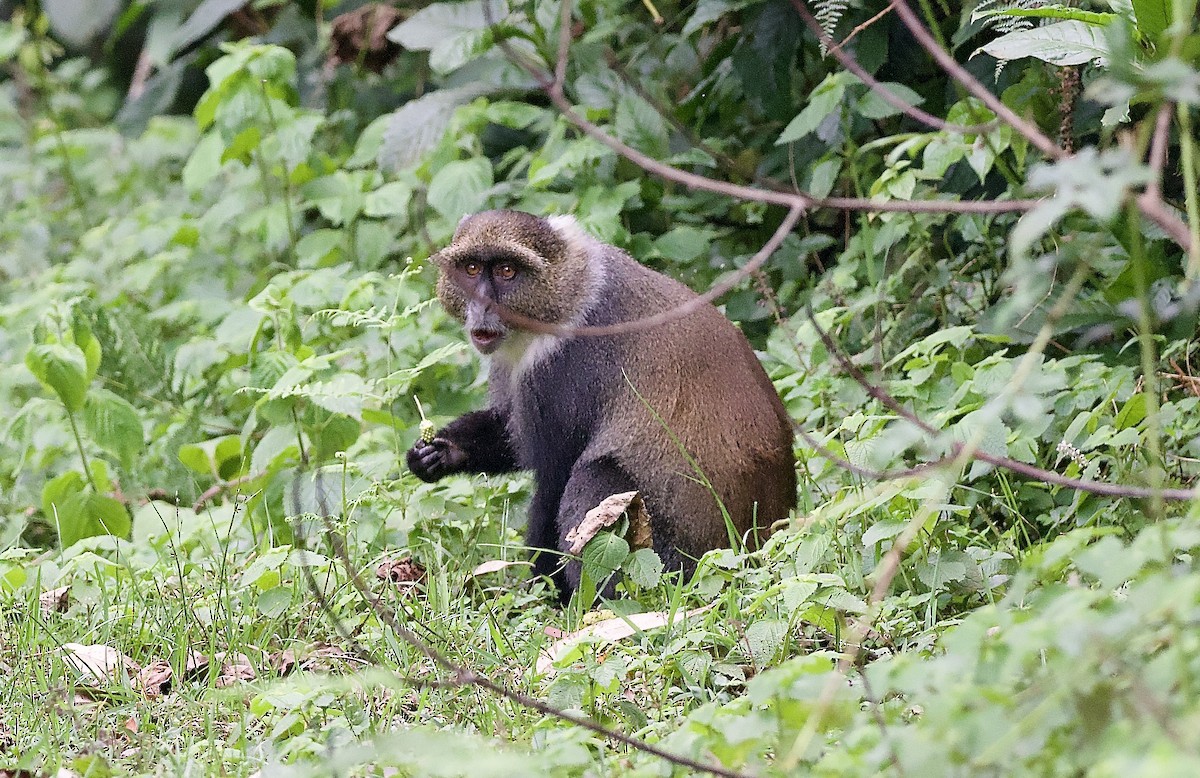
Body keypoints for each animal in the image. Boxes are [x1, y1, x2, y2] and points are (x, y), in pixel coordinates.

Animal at [407, 210, 796, 602]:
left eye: (506, 271)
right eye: (471, 268)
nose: (483, 305)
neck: (569, 292)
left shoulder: (562, 370)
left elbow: (553, 479)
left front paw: (543, 595)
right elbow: (507, 431)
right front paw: (439, 452)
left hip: (675, 562)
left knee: (595, 479)